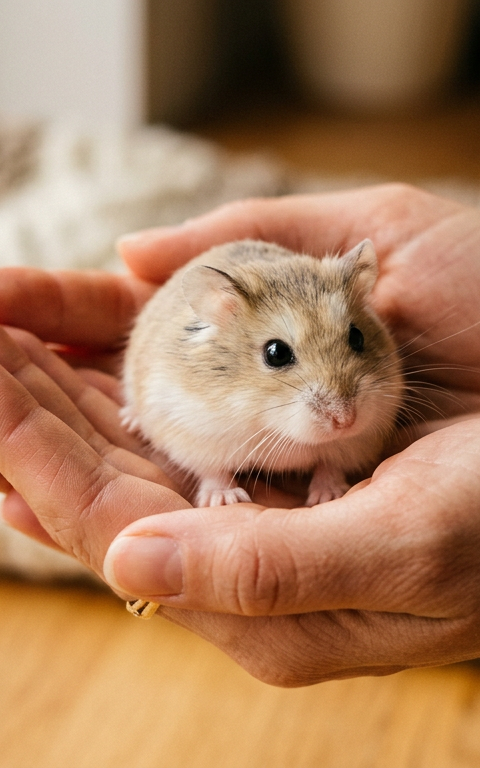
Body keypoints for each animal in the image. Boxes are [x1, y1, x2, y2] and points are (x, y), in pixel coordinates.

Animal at [121, 239, 403, 507]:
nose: (345, 421)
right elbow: (213, 471)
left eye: (357, 337)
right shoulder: (192, 434)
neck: (275, 427)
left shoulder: (355, 442)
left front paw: (328, 495)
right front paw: (225, 499)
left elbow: (330, 466)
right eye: (276, 353)